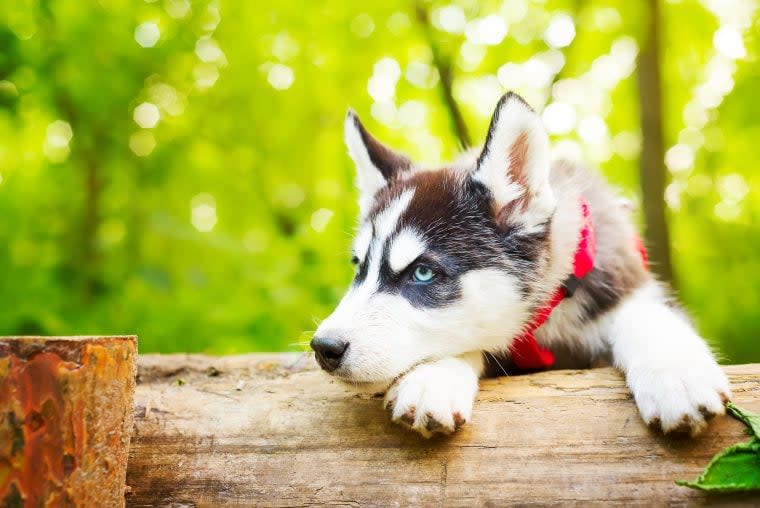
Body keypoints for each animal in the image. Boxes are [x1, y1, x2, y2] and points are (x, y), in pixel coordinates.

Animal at [310, 93, 732, 438]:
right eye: (358, 266)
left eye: (423, 272)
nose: (323, 347)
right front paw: (434, 376)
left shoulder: (626, 283)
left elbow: (645, 314)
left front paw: (676, 371)